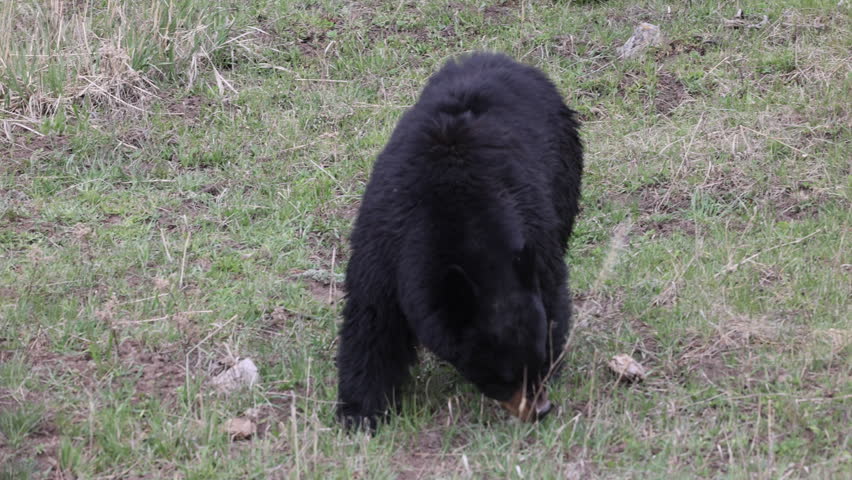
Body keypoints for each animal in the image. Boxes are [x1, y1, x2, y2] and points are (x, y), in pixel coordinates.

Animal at [336, 52, 583, 430]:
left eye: (537, 359)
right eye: (501, 377)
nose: (540, 410)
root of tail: (496, 56)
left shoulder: (535, 234)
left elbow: (552, 295)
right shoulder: (384, 241)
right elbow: (372, 319)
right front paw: (360, 412)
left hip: (565, 172)